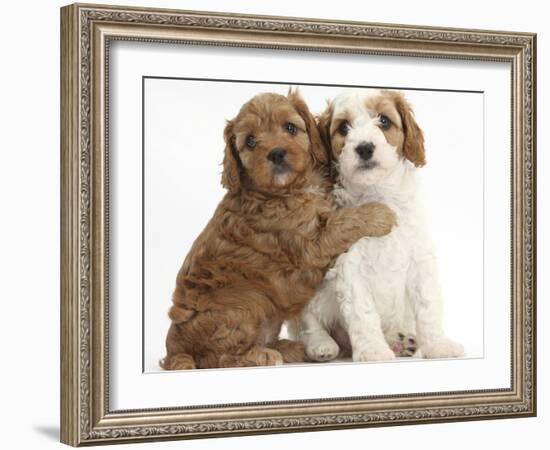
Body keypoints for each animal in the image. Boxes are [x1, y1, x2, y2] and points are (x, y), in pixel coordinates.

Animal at [288, 89, 466, 360]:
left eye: (384, 121)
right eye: (343, 127)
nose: (364, 148)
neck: (378, 194)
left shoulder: (420, 259)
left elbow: (428, 305)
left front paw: (438, 345)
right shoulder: (350, 266)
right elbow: (362, 313)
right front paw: (373, 350)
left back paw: (400, 341)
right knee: (306, 324)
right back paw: (321, 345)